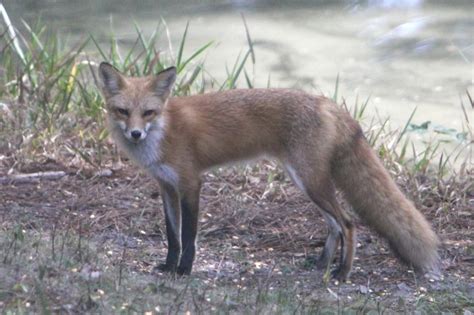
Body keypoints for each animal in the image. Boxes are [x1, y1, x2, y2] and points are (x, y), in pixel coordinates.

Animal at [98, 63, 438, 280]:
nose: (135, 134)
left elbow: (189, 236)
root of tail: (329, 103)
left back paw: (342, 273)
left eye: (148, 113)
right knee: (334, 225)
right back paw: (321, 264)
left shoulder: (191, 183)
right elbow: (172, 236)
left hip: (311, 181)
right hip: (304, 181)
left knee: (348, 223)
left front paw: (183, 271)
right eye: (123, 112)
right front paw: (169, 267)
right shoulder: (166, 186)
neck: (164, 131)